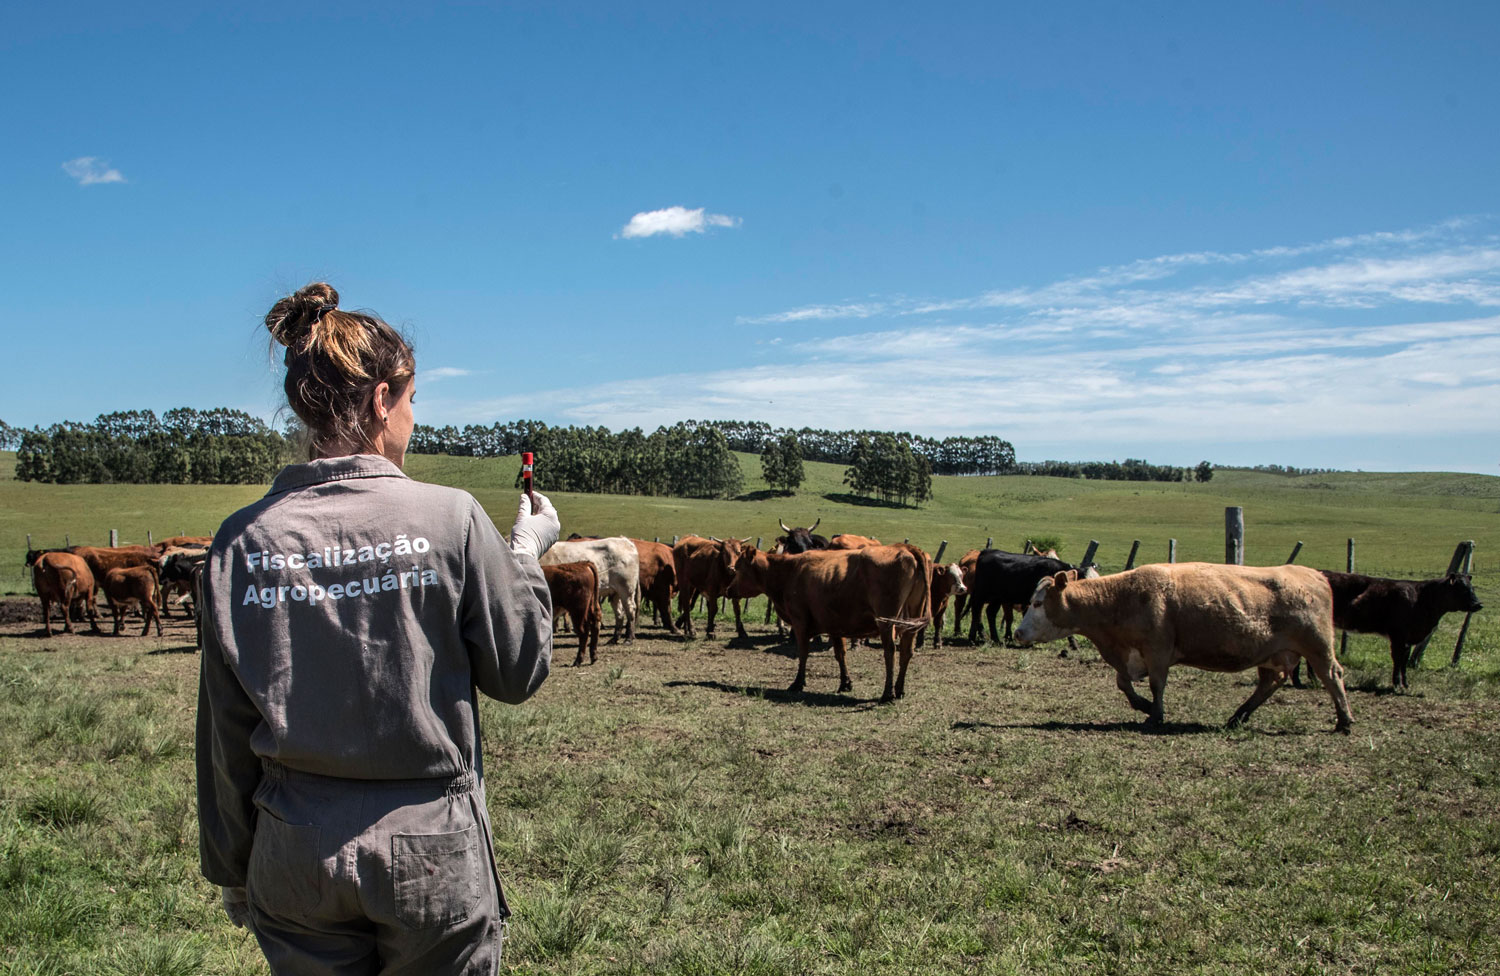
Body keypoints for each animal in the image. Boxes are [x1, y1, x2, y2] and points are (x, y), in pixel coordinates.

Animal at [1014, 563, 1356, 731]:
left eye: (1038, 603)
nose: (1017, 632)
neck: (1121, 598)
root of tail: (1315, 576)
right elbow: (1123, 682)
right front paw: (1142, 705)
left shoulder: (1157, 650)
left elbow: (1156, 684)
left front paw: (1154, 715)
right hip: (1272, 654)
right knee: (1271, 681)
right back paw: (1239, 716)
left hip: (1317, 646)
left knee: (1332, 675)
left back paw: (1344, 720)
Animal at [1308, 569, 1482, 689]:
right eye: (1461, 589)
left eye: (1472, 587)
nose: (1478, 604)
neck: (1422, 599)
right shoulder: (1398, 635)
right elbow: (1397, 659)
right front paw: (1396, 684)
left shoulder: (1409, 638)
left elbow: (1404, 660)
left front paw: (1405, 684)